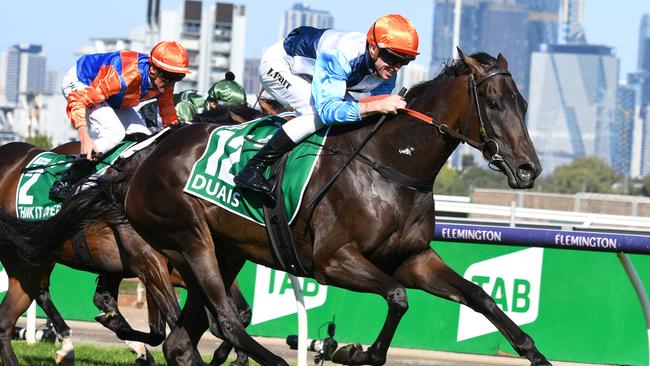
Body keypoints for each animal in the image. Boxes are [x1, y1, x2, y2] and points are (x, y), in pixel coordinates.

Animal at [0, 50, 544, 366]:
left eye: (524, 103)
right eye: (495, 103)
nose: (528, 170)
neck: (390, 165)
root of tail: (141, 160)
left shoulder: (413, 258)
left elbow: (480, 297)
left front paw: (533, 354)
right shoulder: (332, 261)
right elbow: (397, 299)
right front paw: (352, 351)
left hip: (219, 253)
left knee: (185, 337)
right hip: (186, 241)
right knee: (225, 320)